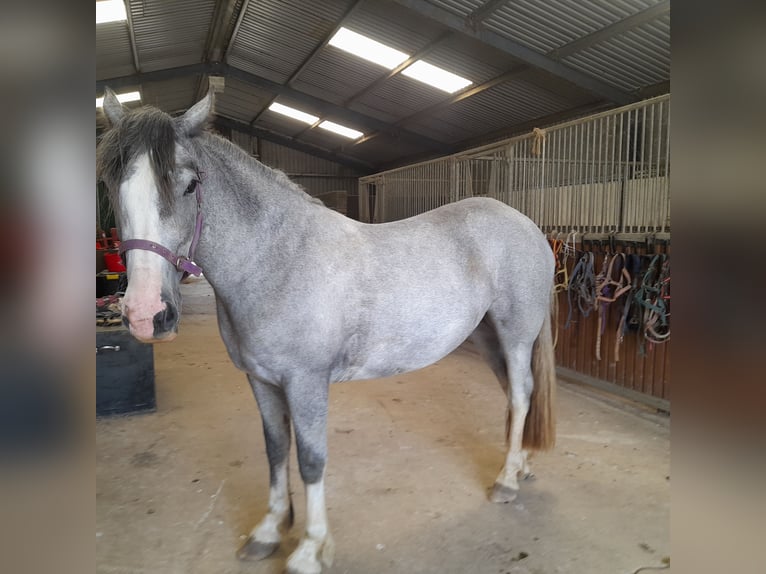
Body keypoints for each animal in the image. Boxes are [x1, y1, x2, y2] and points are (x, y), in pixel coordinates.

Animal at [97, 90, 560, 574]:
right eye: (111, 184)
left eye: (189, 184)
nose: (146, 314)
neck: (277, 260)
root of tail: (529, 227)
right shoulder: (260, 381)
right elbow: (276, 448)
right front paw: (268, 531)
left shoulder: (306, 383)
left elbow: (311, 459)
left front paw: (310, 550)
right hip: (489, 338)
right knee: (516, 394)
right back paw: (521, 464)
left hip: (515, 336)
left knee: (522, 394)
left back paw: (506, 481)